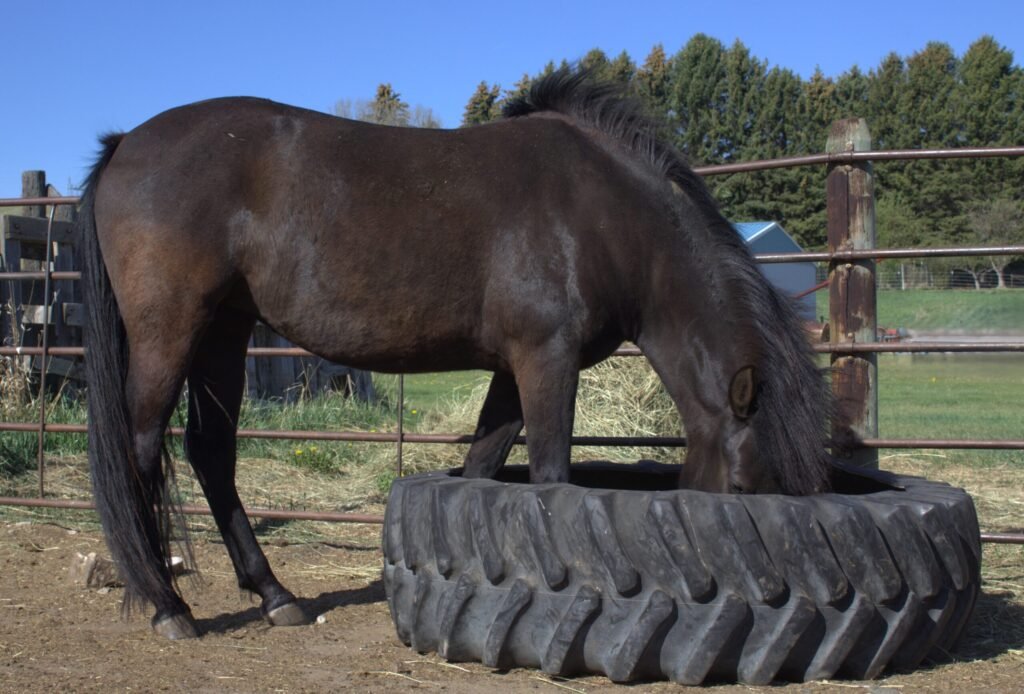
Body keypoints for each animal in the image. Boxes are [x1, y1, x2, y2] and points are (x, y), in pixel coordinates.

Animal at [78, 70, 832, 640]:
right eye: (745, 492)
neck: (604, 213)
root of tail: (124, 144)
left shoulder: (511, 370)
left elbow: (480, 475)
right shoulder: (546, 361)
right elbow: (551, 478)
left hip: (225, 332)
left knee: (211, 452)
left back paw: (274, 596)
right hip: (170, 331)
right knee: (142, 446)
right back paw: (168, 606)